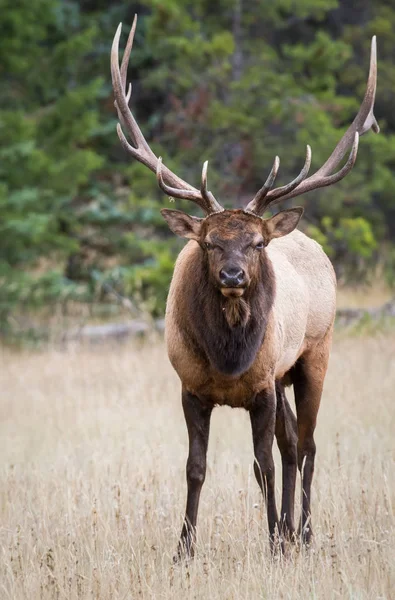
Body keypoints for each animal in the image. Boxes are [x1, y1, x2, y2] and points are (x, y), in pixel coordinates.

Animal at [110, 17, 380, 556]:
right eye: (210, 242)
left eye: (256, 243)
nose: (233, 276)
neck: (228, 358)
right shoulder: (191, 388)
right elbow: (196, 468)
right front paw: (184, 549)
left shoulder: (261, 385)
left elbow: (265, 465)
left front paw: (273, 541)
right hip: (282, 375)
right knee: (294, 442)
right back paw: (293, 531)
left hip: (314, 354)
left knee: (307, 444)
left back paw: (304, 533)